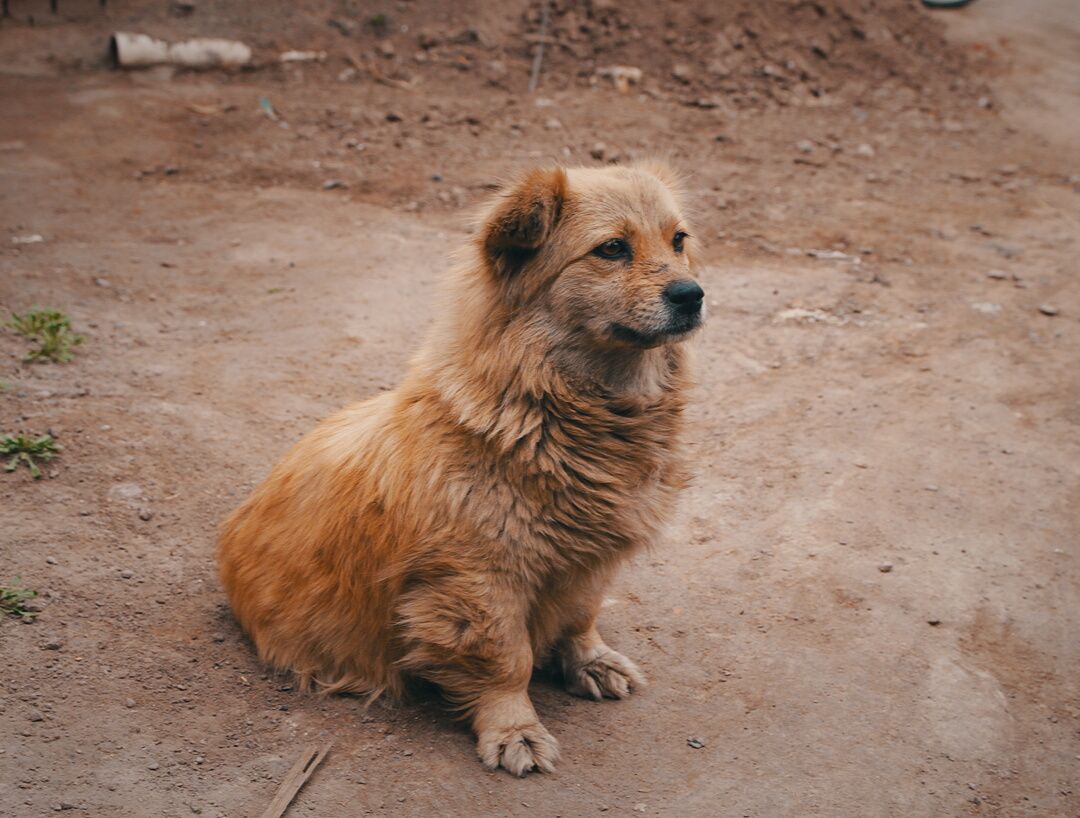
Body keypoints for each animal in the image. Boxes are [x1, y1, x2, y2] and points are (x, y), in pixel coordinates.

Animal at [219, 163, 708, 773]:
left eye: (678, 241)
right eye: (612, 248)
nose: (693, 296)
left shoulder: (590, 555)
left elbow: (579, 613)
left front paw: (587, 660)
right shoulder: (479, 581)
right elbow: (507, 661)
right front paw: (514, 728)